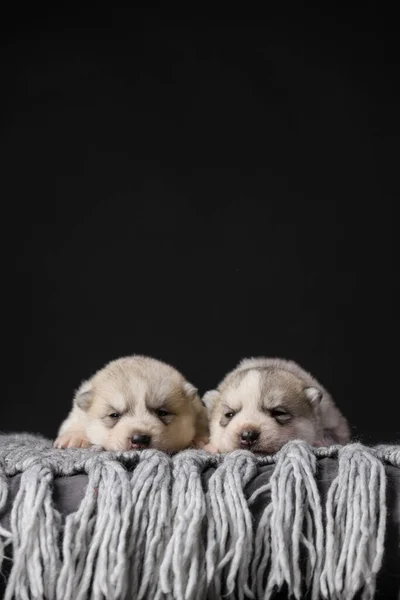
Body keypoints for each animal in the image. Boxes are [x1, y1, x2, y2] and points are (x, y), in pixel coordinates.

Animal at [55, 356, 209, 450]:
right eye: (114, 415)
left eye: (162, 413)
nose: (139, 439)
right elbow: (77, 421)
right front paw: (74, 436)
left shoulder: (197, 408)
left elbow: (201, 421)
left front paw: (199, 438)